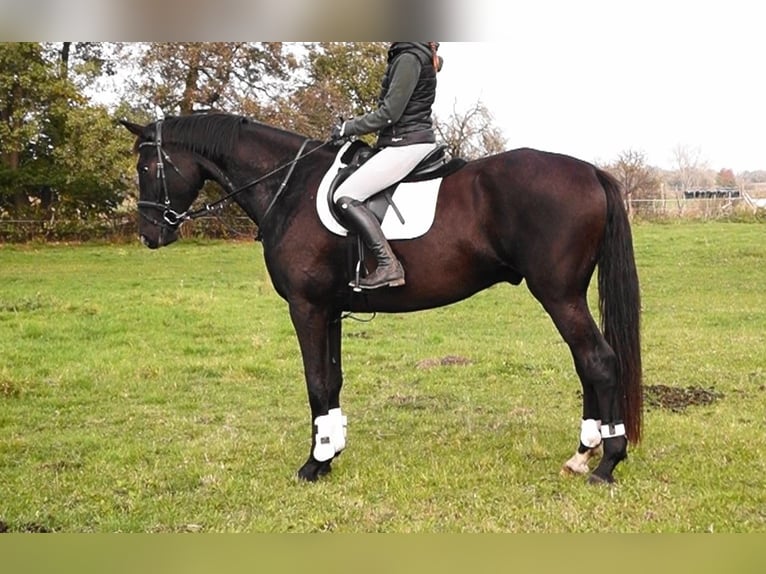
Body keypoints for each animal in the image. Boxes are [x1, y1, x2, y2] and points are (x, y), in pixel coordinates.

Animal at [120, 112, 644, 486]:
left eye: (148, 166)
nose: (149, 234)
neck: (289, 186)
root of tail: (590, 171)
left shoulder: (306, 307)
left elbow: (315, 383)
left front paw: (313, 465)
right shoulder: (329, 310)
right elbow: (331, 382)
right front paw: (331, 453)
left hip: (558, 294)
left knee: (598, 362)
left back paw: (605, 464)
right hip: (566, 296)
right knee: (585, 363)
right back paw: (582, 455)